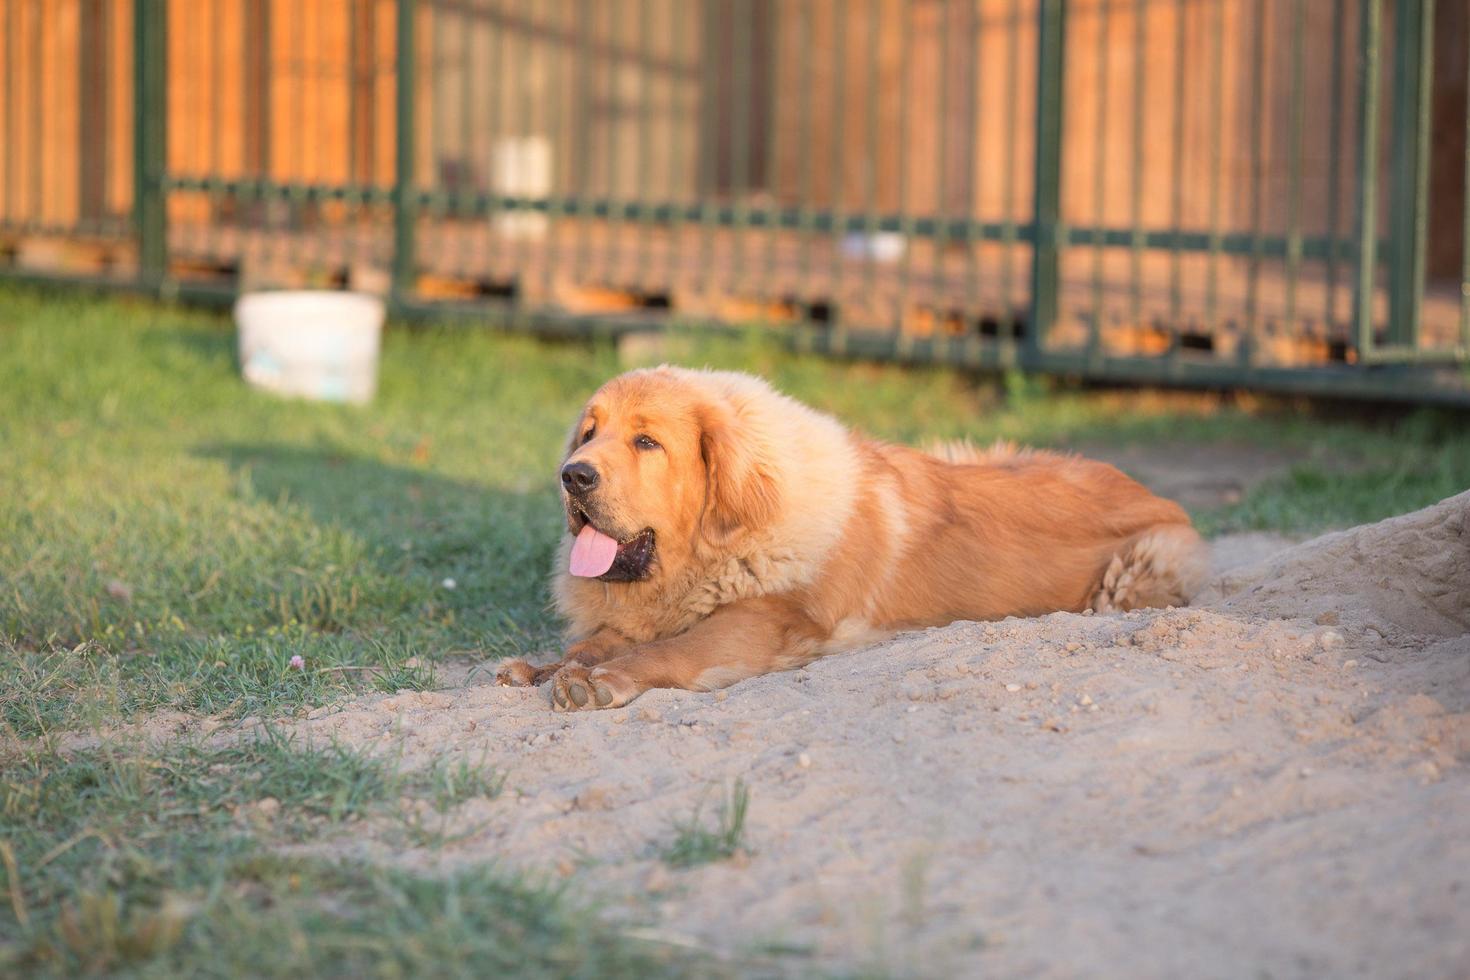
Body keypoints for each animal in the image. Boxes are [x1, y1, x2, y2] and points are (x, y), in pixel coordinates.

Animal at [499, 367, 1211, 714]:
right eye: (590, 433)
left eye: (647, 441)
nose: (573, 475)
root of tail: (1160, 495)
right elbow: (595, 640)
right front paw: (548, 665)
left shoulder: (762, 622)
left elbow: (669, 651)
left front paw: (604, 680)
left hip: (1129, 575)